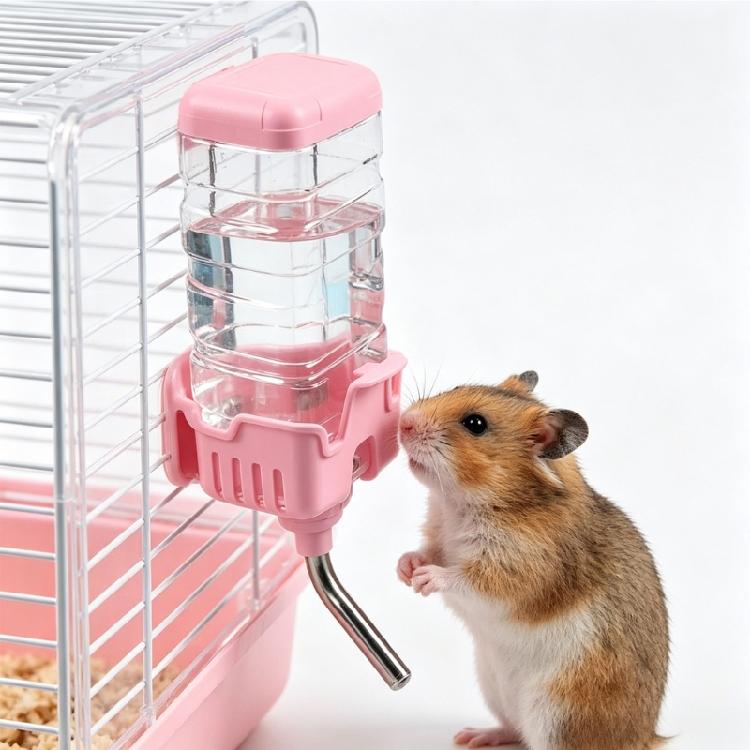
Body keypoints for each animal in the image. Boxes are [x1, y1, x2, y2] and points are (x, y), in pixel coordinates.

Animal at [397, 371, 668, 750]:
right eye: (454, 387)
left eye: (475, 424)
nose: (402, 422)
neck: (464, 505)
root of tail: (646, 738)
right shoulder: (439, 538)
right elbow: (426, 552)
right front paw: (405, 568)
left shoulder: (515, 572)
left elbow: (465, 579)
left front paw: (425, 579)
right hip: (494, 687)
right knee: (513, 730)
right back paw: (472, 737)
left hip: (558, 713)